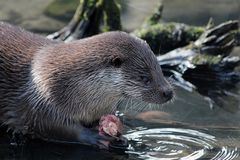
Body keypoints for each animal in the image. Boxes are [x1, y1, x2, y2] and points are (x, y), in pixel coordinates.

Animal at [0, 22, 172, 149]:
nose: (168, 92)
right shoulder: (41, 100)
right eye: (145, 78)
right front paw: (92, 137)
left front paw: (121, 136)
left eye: (159, 69)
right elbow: (49, 125)